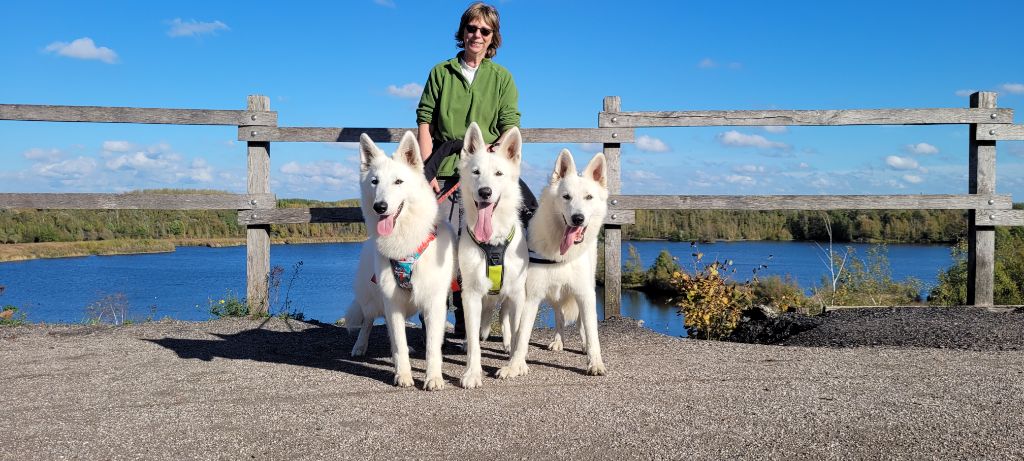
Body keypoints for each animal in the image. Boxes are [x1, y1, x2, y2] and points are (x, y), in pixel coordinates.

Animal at [344, 131, 456, 391]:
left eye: (398, 182)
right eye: (374, 182)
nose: (380, 206)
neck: (405, 244)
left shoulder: (434, 302)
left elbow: (432, 346)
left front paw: (433, 377)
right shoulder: (392, 301)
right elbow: (398, 343)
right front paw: (403, 375)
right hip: (373, 299)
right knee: (368, 321)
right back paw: (359, 346)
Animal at [456, 122, 528, 389]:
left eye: (498, 173)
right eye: (476, 172)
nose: (485, 192)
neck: (493, 241)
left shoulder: (517, 294)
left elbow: (518, 333)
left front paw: (516, 365)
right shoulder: (471, 296)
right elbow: (474, 343)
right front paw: (472, 372)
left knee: (508, 322)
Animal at [495, 149, 606, 379]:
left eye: (589, 197)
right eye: (566, 197)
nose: (578, 218)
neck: (560, 254)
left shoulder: (585, 294)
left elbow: (592, 332)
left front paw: (595, 363)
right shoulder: (530, 297)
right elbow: (522, 335)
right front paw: (515, 365)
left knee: (578, 320)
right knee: (554, 314)